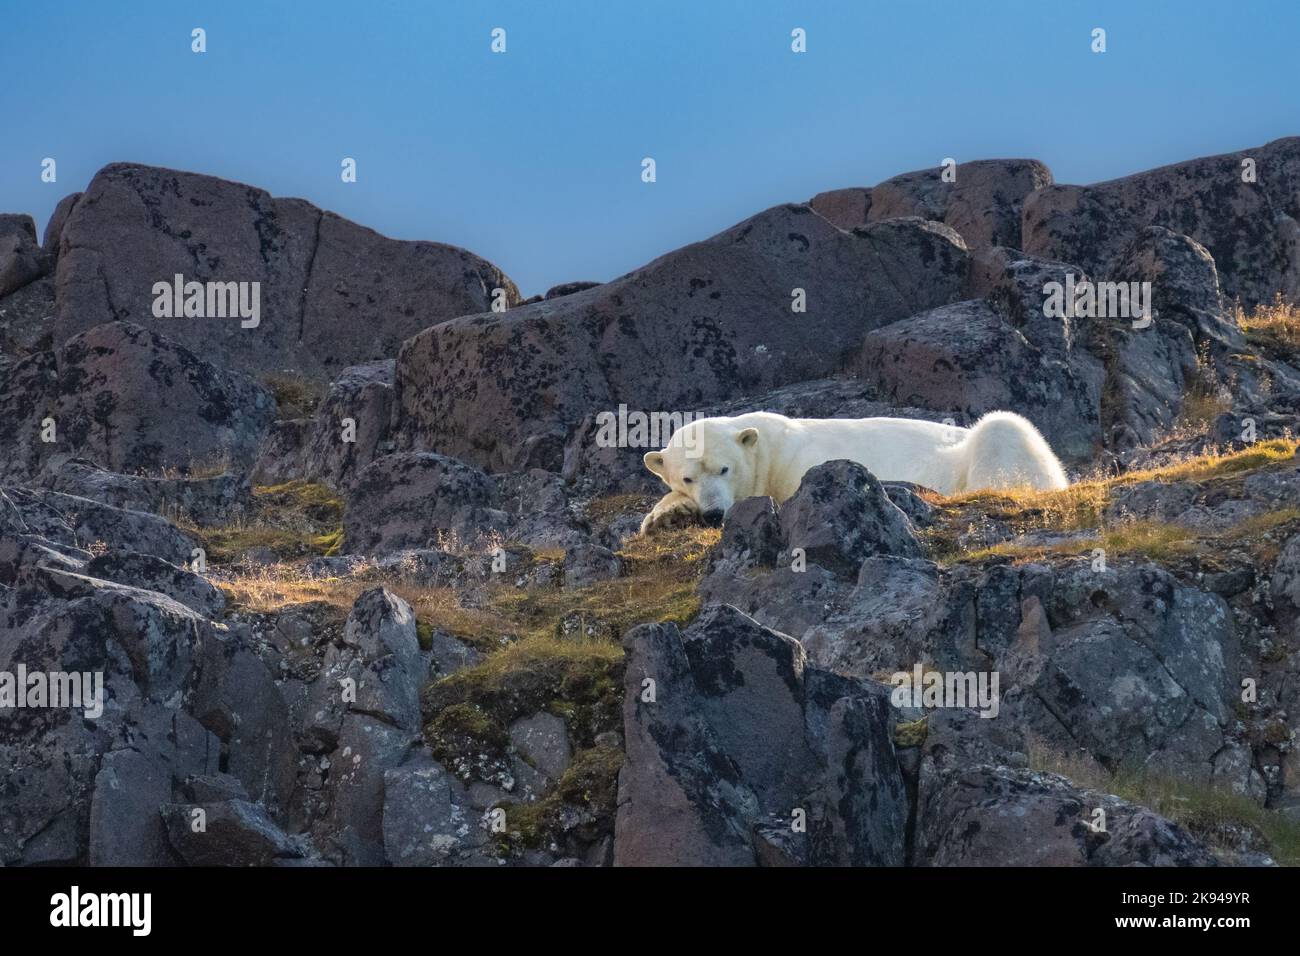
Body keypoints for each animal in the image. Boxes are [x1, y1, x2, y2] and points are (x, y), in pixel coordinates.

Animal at [637, 408, 1066, 535]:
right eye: (688, 478)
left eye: (725, 468)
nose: (713, 514)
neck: (768, 450)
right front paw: (664, 515)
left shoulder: (800, 463)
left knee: (1001, 429)